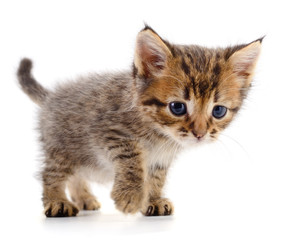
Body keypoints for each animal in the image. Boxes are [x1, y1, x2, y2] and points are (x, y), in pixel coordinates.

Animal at [17, 26, 262, 218]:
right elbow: (132, 158)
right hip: (62, 147)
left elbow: (156, 177)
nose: (200, 134)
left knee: (77, 174)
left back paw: (83, 197)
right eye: (178, 107)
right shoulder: (108, 132)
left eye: (218, 111)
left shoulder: (161, 159)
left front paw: (152, 200)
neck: (161, 135)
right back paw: (57, 201)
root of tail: (51, 97)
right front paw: (131, 196)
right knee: (52, 173)